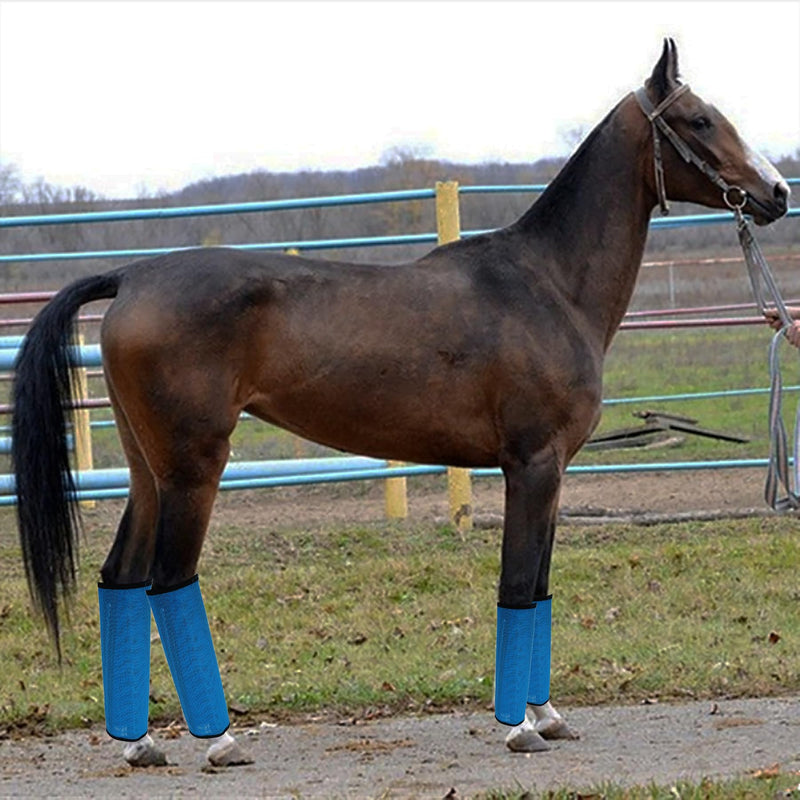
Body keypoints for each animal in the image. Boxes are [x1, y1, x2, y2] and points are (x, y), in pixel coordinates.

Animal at [11, 39, 790, 767]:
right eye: (700, 119)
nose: (777, 193)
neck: (547, 284)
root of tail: (134, 276)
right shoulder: (531, 465)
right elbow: (517, 586)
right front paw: (517, 729)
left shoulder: (555, 472)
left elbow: (539, 587)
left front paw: (548, 717)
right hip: (192, 471)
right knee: (168, 583)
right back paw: (220, 740)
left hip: (149, 471)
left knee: (121, 578)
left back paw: (139, 743)